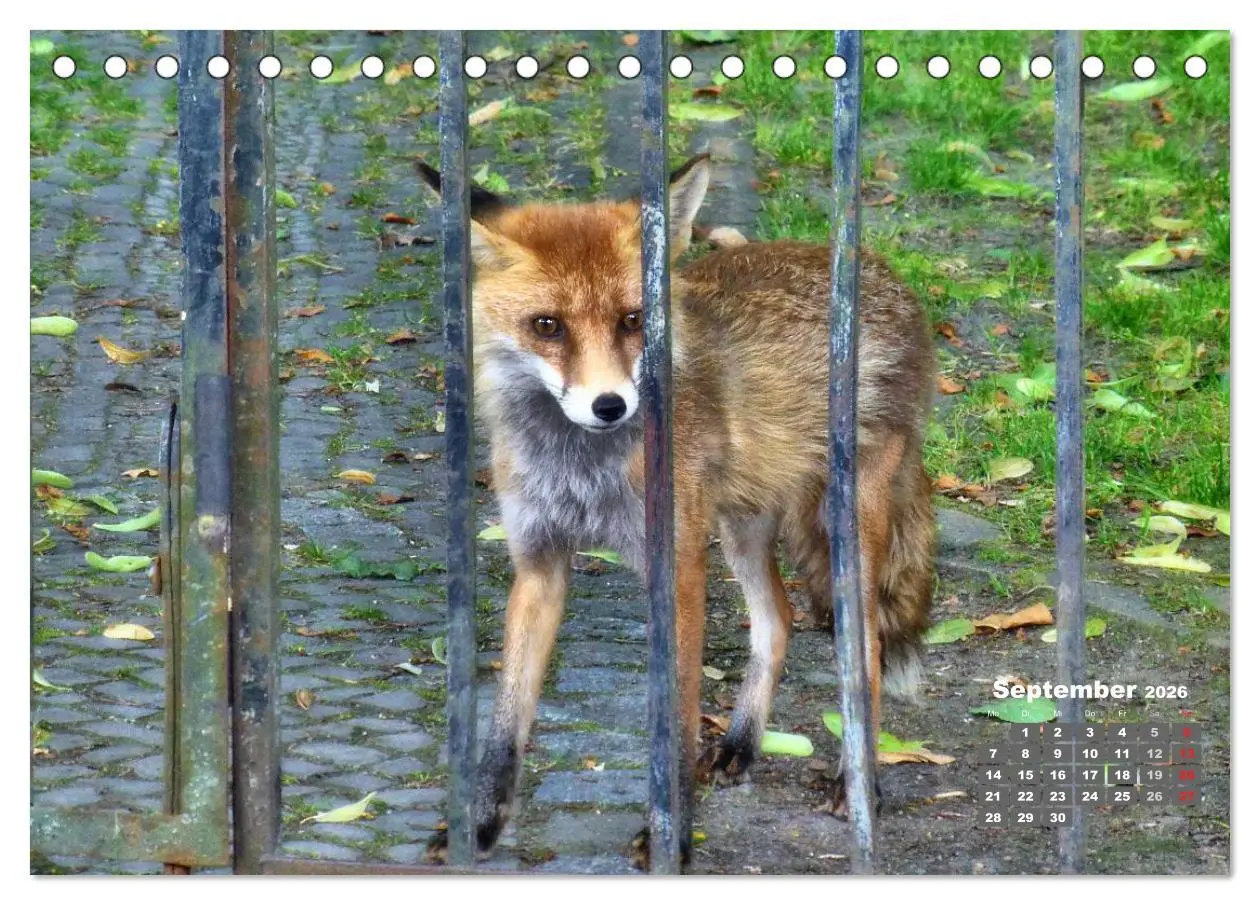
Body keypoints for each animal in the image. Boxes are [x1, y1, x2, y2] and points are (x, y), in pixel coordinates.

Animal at [419, 154, 936, 869]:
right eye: (547, 326)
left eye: (634, 319)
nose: (610, 406)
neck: (584, 470)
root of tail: (884, 271)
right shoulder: (539, 561)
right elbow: (504, 725)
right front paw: (481, 827)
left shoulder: (679, 566)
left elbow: (678, 717)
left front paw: (671, 837)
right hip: (740, 526)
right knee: (776, 619)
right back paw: (742, 742)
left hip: (844, 532)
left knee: (867, 651)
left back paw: (855, 785)